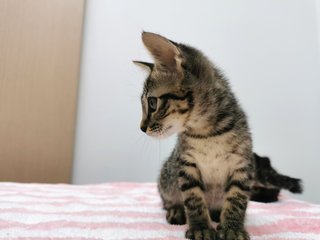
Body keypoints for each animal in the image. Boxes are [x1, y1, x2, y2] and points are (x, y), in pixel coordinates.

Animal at [133, 32, 302, 240]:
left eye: (152, 103)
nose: (142, 128)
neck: (207, 133)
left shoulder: (242, 165)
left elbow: (237, 199)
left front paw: (232, 228)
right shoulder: (186, 165)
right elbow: (193, 199)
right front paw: (201, 228)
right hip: (167, 176)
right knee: (167, 198)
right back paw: (176, 210)